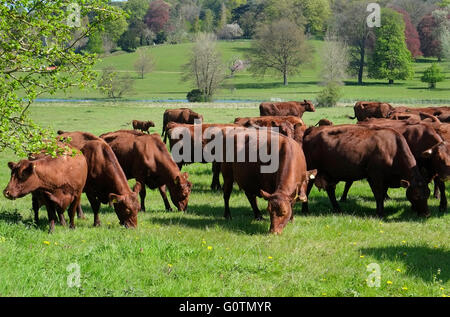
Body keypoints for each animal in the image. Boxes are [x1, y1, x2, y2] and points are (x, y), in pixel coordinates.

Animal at [300, 123, 430, 217]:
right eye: (417, 195)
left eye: (428, 193)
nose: (426, 214)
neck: (392, 148)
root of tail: (312, 129)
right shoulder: (375, 177)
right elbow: (378, 194)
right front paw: (380, 213)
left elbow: (382, 194)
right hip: (312, 171)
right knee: (308, 188)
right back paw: (305, 210)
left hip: (329, 173)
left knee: (330, 190)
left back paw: (338, 209)